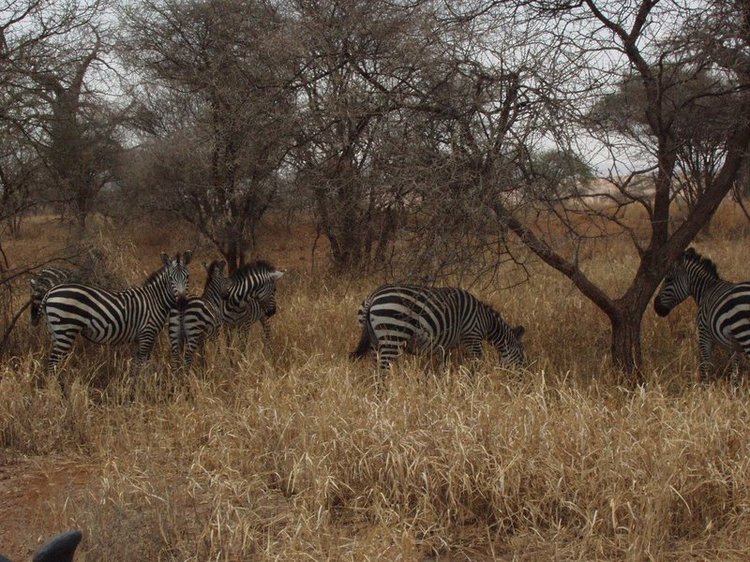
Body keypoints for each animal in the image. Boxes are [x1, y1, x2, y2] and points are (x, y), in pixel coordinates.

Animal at [39, 252, 192, 382]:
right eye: (171, 279)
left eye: (187, 277)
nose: (182, 303)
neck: (155, 300)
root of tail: (50, 292)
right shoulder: (147, 334)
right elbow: (142, 365)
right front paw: (141, 389)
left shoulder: (142, 337)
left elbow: (139, 365)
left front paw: (138, 386)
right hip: (66, 330)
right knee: (53, 363)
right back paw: (57, 393)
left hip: (56, 331)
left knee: (55, 364)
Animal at [352, 282, 528, 370]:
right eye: (521, 355)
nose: (521, 380)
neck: (486, 322)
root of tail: (372, 297)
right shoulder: (472, 337)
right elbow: (478, 364)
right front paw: (474, 386)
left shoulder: (446, 346)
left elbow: (443, 368)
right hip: (393, 335)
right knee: (382, 370)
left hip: (375, 340)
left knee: (374, 368)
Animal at [656, 247, 750, 382]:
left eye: (668, 279)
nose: (656, 307)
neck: (706, 290)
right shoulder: (732, 343)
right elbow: (734, 368)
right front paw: (734, 385)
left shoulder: (704, 333)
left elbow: (705, 365)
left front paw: (704, 386)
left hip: (744, 333)